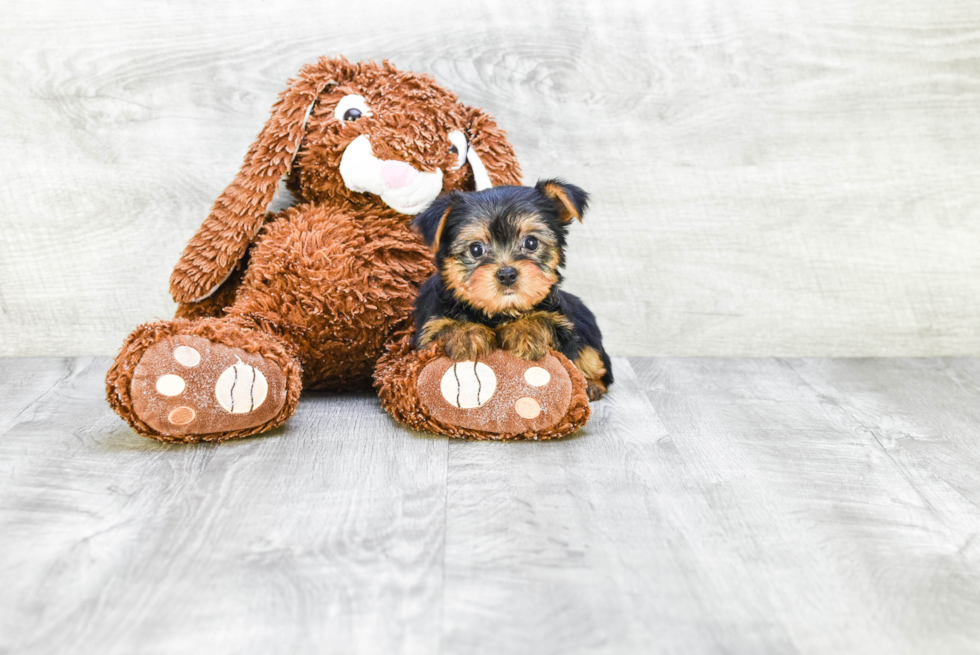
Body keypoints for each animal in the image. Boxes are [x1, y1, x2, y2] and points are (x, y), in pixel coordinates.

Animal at [412, 179, 612, 400]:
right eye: (476, 249)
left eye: (531, 242)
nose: (507, 274)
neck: (501, 311)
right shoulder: (428, 327)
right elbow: (443, 327)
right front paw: (466, 334)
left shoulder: (563, 326)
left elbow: (545, 321)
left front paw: (525, 330)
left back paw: (592, 386)